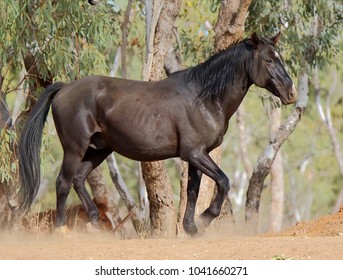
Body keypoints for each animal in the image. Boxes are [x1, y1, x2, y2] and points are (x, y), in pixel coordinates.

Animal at [18, 31, 298, 235]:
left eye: (280, 57)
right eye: (268, 60)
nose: (291, 93)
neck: (204, 98)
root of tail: (65, 88)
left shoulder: (197, 156)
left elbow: (193, 191)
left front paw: (191, 228)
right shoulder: (195, 154)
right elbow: (224, 181)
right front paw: (205, 219)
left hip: (98, 150)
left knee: (78, 179)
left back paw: (95, 226)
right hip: (74, 148)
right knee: (63, 183)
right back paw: (60, 229)